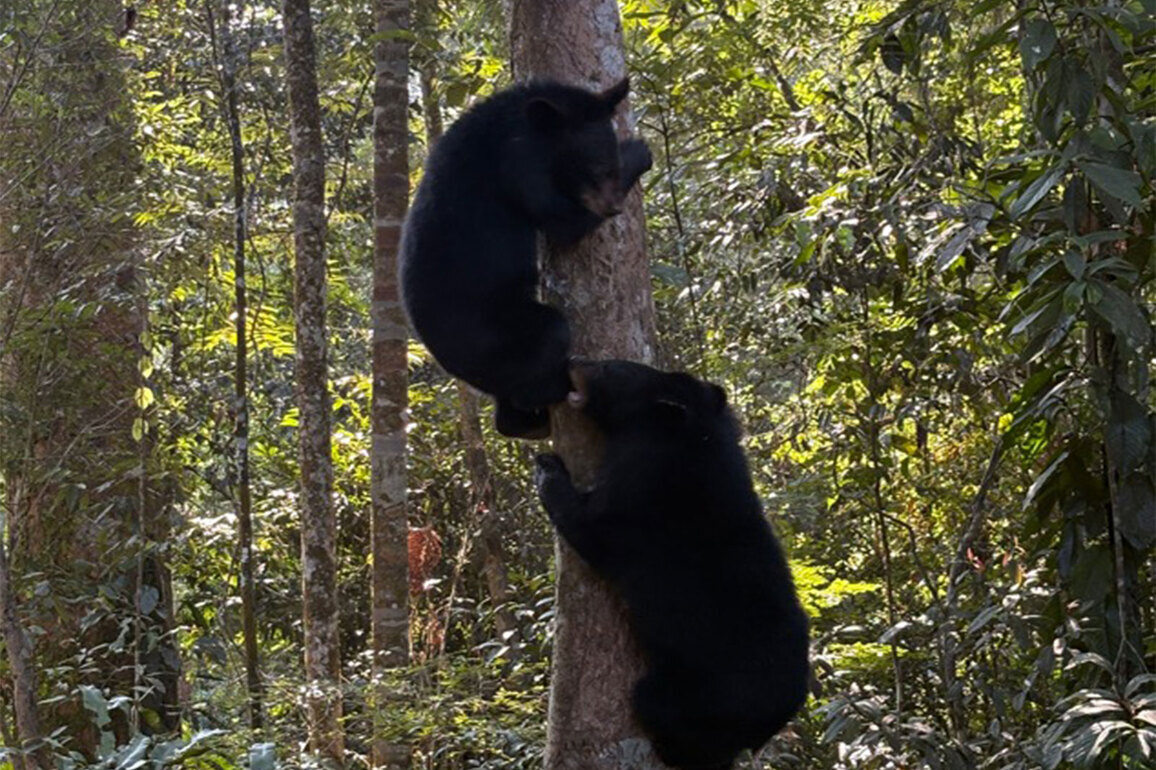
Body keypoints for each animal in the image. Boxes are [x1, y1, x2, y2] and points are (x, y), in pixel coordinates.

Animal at [399, 79, 653, 439]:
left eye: (609, 166)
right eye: (593, 168)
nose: (613, 207)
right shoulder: (520, 168)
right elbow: (565, 223)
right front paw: (640, 150)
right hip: (501, 334)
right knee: (550, 334)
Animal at [533, 360, 810, 770]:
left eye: (610, 369)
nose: (573, 362)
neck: (694, 439)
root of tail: (773, 721)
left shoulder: (643, 495)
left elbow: (592, 527)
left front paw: (547, 468)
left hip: (701, 697)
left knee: (661, 711)